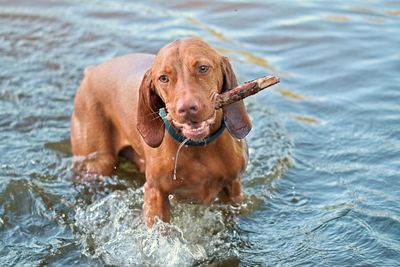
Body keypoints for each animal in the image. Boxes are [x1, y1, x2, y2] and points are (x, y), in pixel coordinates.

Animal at [70, 38, 252, 226]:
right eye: (163, 78)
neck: (198, 146)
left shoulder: (233, 190)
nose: (186, 108)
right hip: (97, 163)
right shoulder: (155, 194)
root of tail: (92, 71)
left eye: (203, 68)